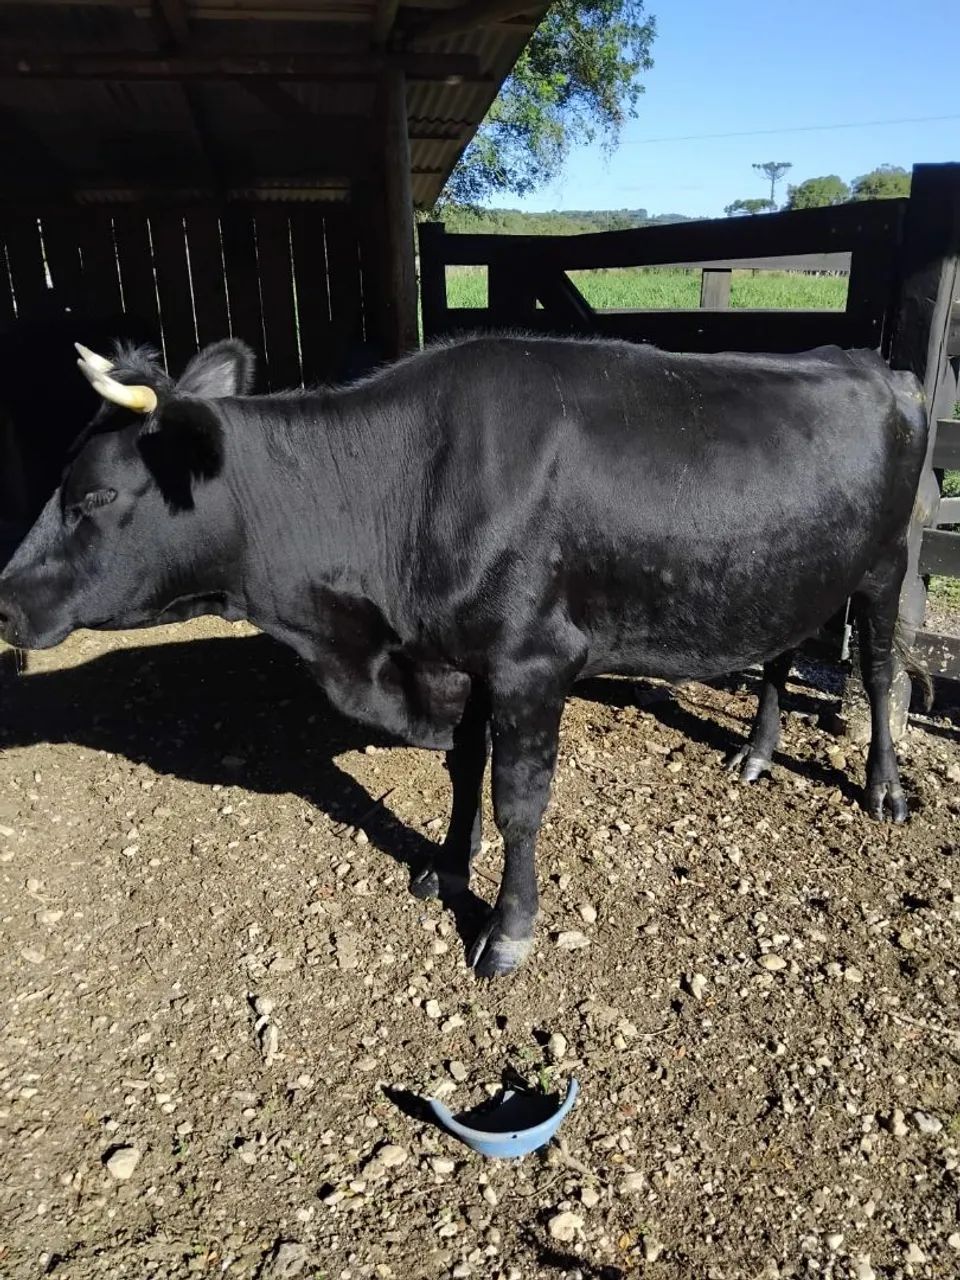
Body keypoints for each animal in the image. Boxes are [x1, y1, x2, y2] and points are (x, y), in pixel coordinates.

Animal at [0, 334, 928, 977]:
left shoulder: (532, 663)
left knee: (880, 672)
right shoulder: (456, 660)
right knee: (780, 653)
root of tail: (875, 363)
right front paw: (447, 865)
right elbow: (462, 768)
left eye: (96, 495)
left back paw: (883, 786)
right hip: (794, 568)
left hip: (886, 565)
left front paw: (507, 930)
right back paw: (758, 752)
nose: (4, 599)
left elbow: (518, 800)